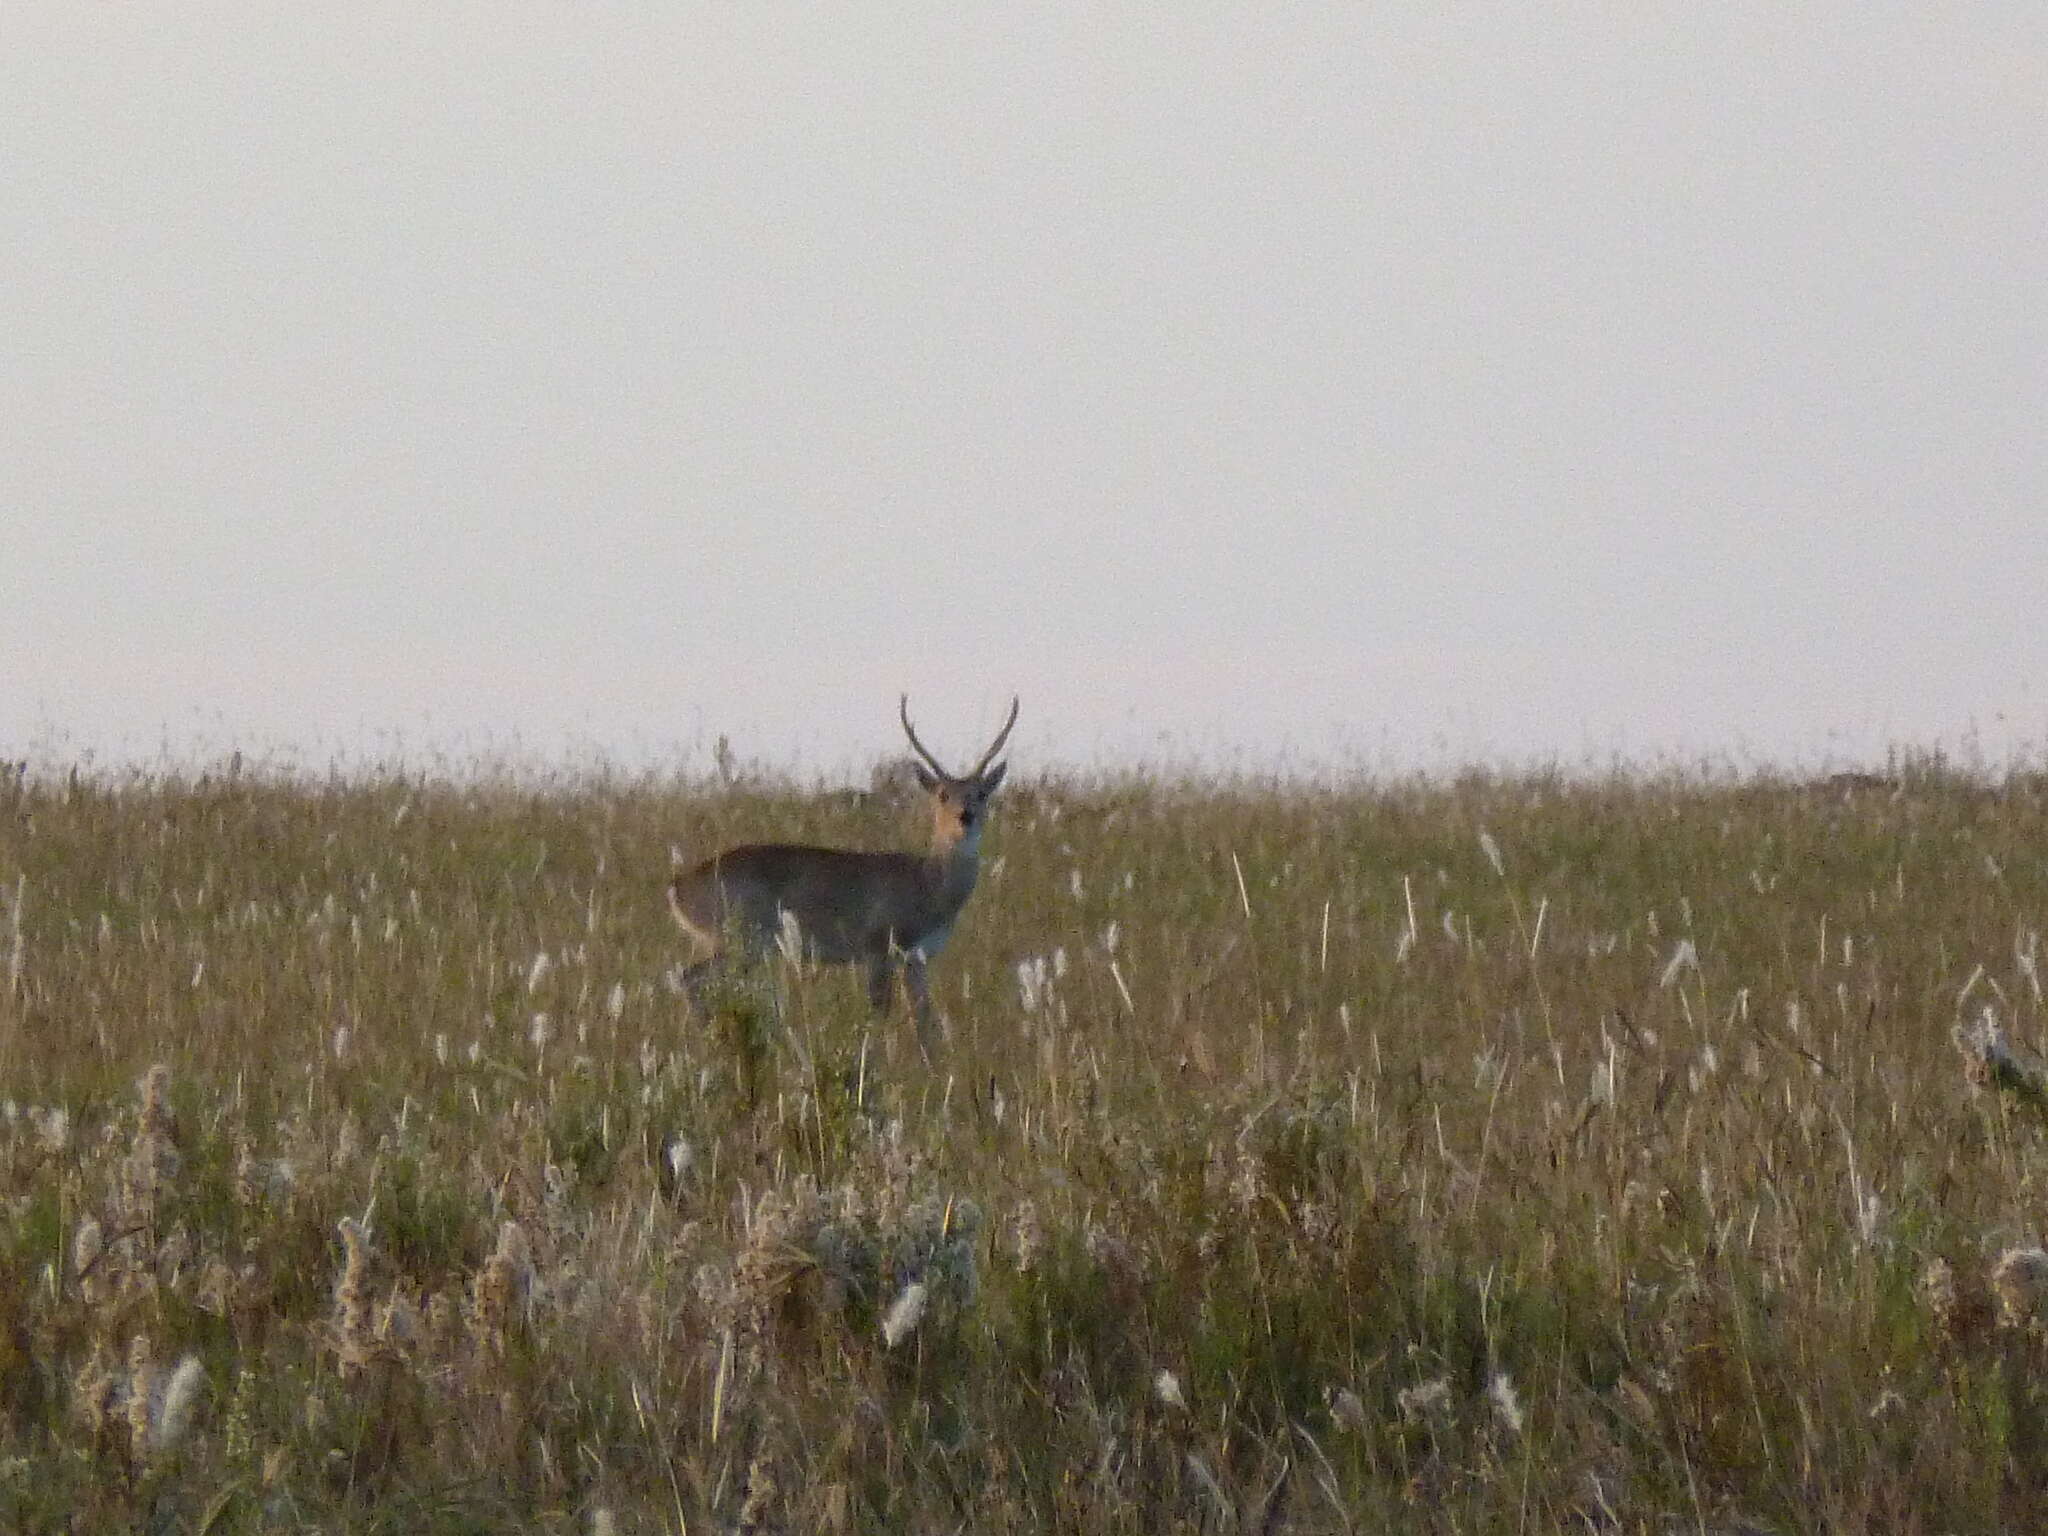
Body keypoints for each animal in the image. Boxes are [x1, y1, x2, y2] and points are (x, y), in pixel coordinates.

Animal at [667, 696, 1019, 1056]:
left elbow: (925, 1025)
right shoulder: (876, 953)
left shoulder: (916, 960)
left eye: (981, 793)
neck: (926, 883)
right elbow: (877, 1021)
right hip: (740, 941)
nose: (965, 816)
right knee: (688, 977)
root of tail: (678, 885)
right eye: (942, 794)